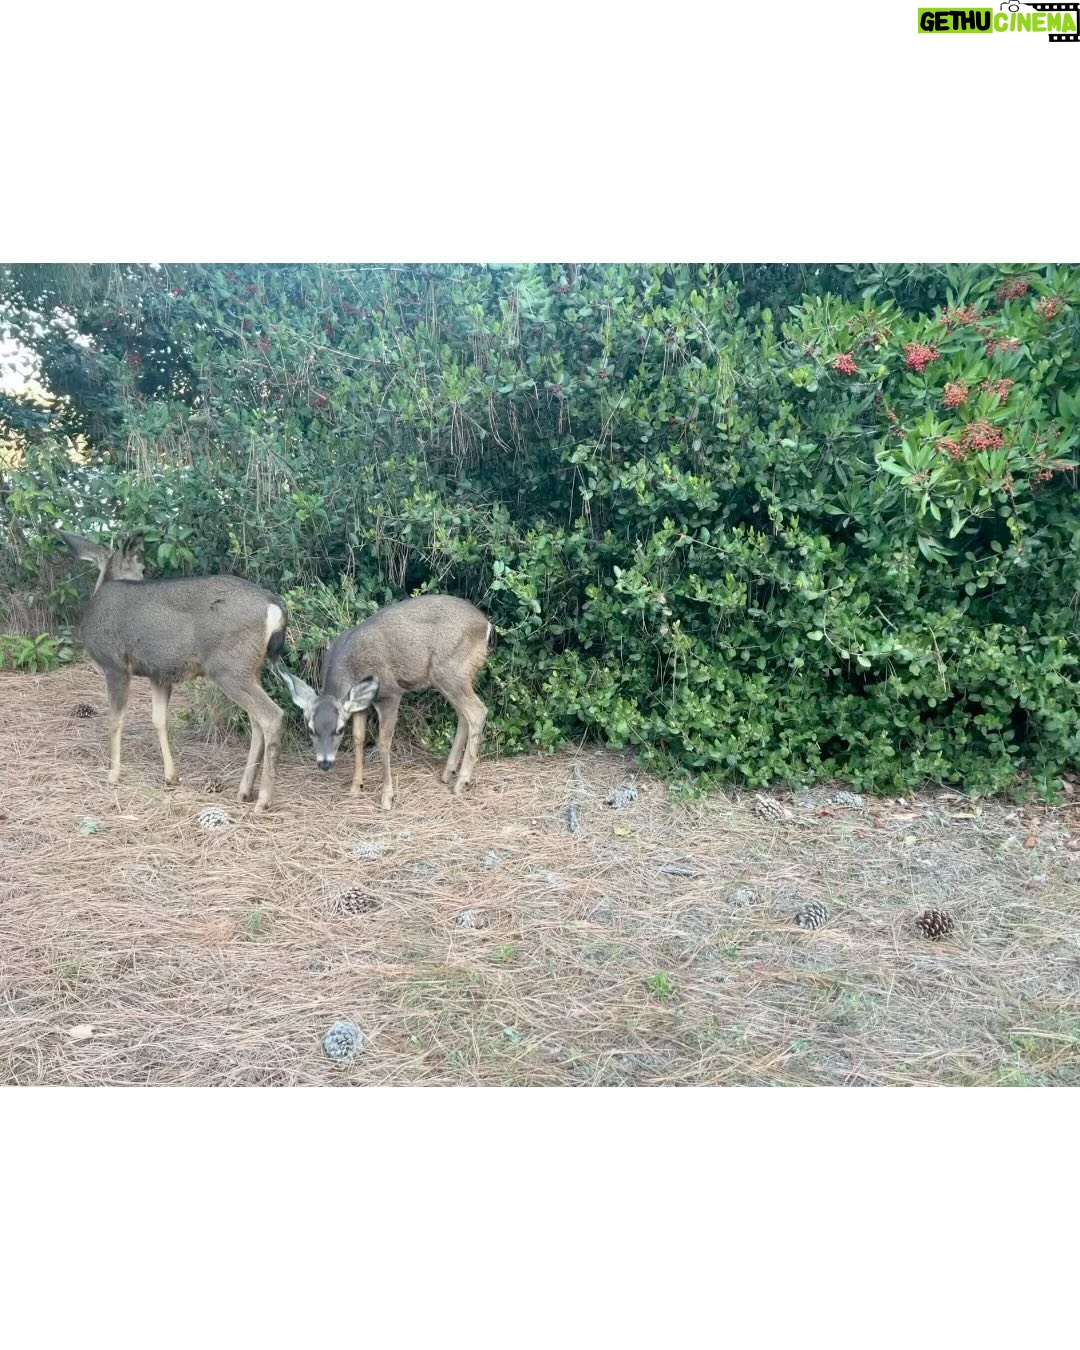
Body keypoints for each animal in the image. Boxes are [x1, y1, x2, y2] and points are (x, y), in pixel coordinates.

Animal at [59, 531, 288, 812]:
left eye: (142, 568)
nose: (144, 576)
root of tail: (274, 605)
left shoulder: (115, 665)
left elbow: (115, 720)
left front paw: (113, 775)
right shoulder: (160, 674)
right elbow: (159, 720)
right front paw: (171, 776)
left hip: (228, 667)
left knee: (271, 716)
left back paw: (263, 799)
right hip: (249, 667)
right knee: (256, 721)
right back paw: (244, 791)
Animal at [275, 594, 491, 811]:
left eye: (339, 729)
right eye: (310, 729)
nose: (324, 763)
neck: (350, 666)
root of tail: (486, 625)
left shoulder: (390, 694)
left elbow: (384, 742)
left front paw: (387, 797)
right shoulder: (360, 704)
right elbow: (358, 738)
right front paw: (356, 786)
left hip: (451, 671)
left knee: (477, 711)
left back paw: (461, 782)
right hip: (447, 678)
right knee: (463, 715)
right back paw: (447, 773)